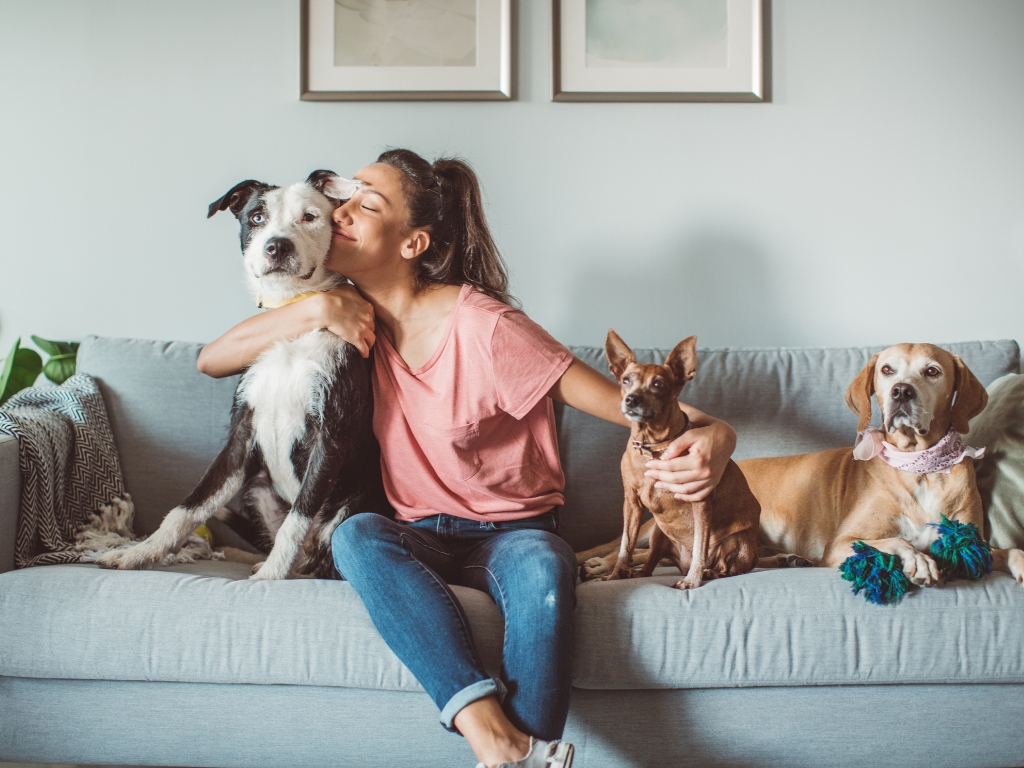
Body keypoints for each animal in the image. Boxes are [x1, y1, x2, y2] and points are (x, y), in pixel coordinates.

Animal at [97, 171, 385, 581]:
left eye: (310, 216)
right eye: (256, 217)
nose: (276, 247)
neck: (291, 318)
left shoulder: (330, 438)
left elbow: (297, 518)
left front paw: (270, 577)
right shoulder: (240, 433)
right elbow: (188, 507)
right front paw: (140, 552)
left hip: (351, 505)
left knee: (324, 562)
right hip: (256, 488)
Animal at [581, 344, 1024, 589]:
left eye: (932, 371)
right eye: (887, 370)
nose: (901, 391)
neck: (920, 468)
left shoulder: (975, 545)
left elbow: (1012, 549)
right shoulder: (842, 545)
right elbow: (894, 542)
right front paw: (916, 558)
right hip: (660, 526)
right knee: (635, 549)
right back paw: (600, 565)